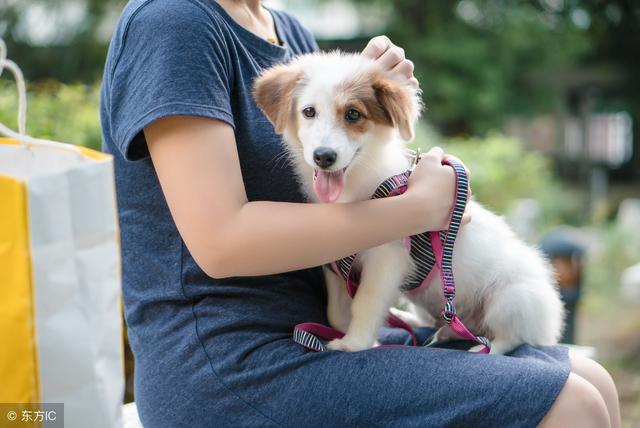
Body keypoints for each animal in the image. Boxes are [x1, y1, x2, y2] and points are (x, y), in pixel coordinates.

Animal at [252, 51, 564, 354]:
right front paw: (352, 335)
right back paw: (428, 325)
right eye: (309, 112)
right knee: (441, 321)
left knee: (512, 337)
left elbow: (365, 301)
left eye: (353, 114)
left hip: (512, 300)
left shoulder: (386, 258)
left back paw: (485, 348)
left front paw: (355, 343)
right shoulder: (336, 261)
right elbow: (337, 310)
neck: (358, 186)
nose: (323, 156)